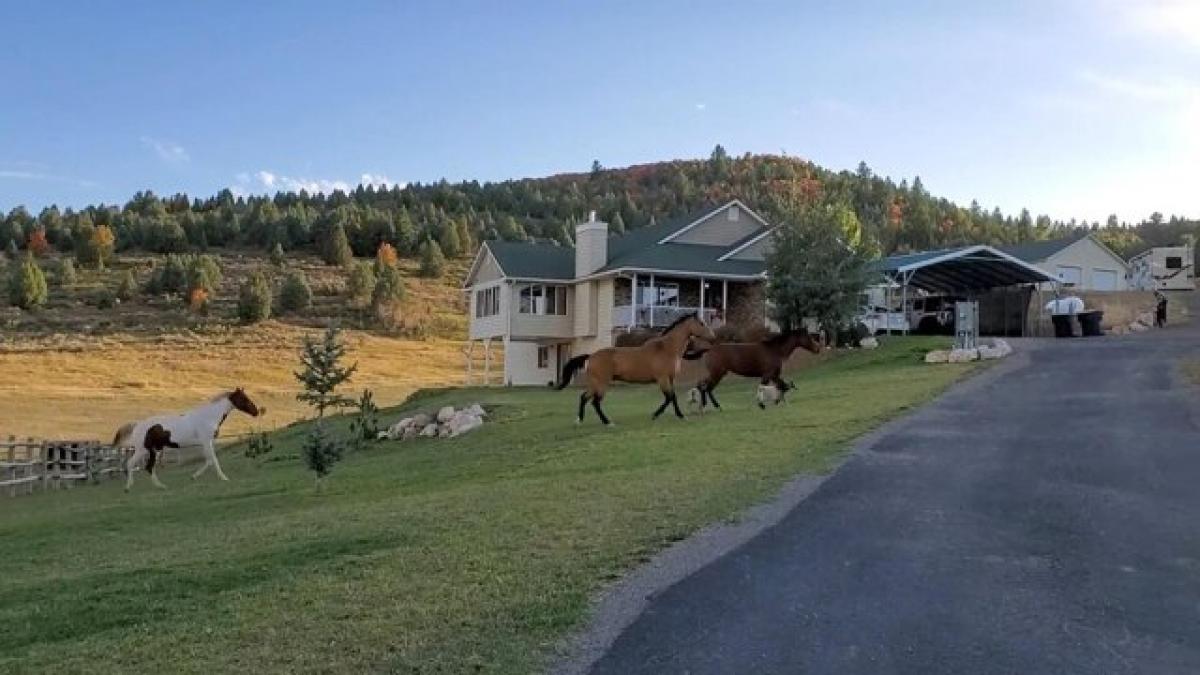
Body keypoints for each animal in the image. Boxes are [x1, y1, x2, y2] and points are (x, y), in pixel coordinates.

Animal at [114, 386, 262, 492]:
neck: (208, 417)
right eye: (244, 398)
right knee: (133, 464)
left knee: (148, 467)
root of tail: (137, 425)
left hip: (152, 450)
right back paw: (128, 487)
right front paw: (224, 478)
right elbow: (213, 460)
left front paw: (193, 476)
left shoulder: (207, 443)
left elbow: (209, 460)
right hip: (143, 449)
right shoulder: (206, 441)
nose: (256, 412)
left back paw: (161, 486)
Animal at [556, 312, 715, 422]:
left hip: (594, 383)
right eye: (701, 323)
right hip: (601, 383)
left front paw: (680, 415)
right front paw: (655, 415)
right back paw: (607, 422)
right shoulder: (662, 379)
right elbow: (669, 397)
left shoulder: (670, 379)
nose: (713, 338)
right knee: (595, 402)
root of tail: (591, 356)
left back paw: (579, 420)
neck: (667, 349)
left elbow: (673, 397)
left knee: (584, 397)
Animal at [686, 326, 825, 410]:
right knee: (706, 387)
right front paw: (762, 404)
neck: (775, 350)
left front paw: (777, 401)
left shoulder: (774, 375)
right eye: (808, 337)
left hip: (718, 373)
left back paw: (706, 406)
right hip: (717, 373)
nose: (818, 348)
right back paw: (714, 406)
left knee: (703, 386)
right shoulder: (767, 375)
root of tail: (709, 349)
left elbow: (782, 386)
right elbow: (763, 388)